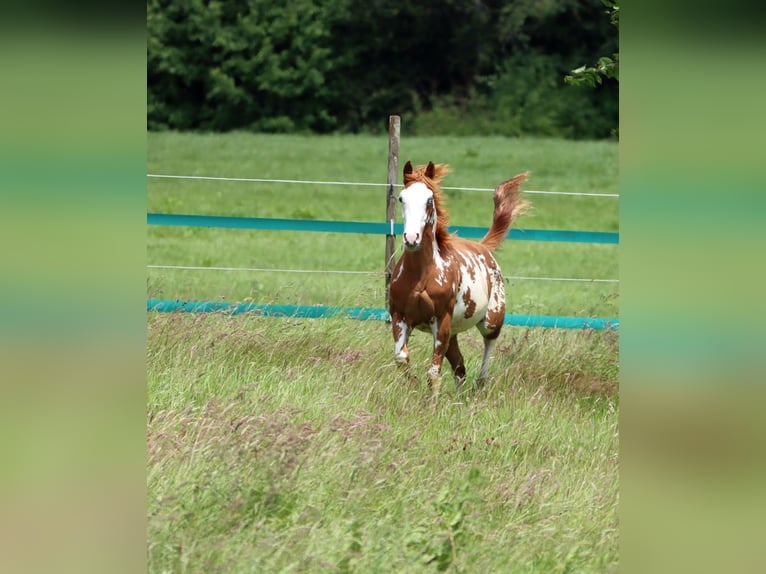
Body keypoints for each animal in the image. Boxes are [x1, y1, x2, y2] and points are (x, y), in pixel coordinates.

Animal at [388, 161, 529, 397]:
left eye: (429, 200)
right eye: (401, 198)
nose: (411, 238)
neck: (421, 277)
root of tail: (483, 247)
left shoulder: (441, 321)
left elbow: (433, 372)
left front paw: (432, 402)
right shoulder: (400, 316)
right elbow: (402, 358)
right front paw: (414, 387)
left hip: (491, 320)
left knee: (487, 349)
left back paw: (479, 387)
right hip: (453, 333)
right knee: (459, 366)